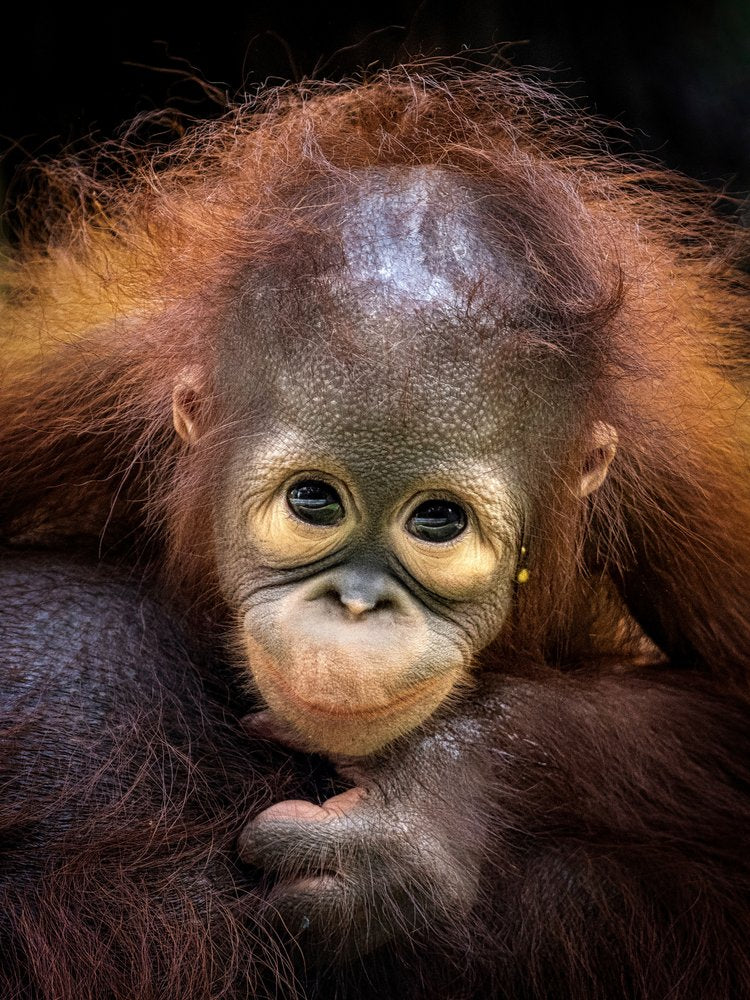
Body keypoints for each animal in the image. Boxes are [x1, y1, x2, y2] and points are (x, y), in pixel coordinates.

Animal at [1, 66, 750, 998]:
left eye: (438, 520)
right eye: (314, 501)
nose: (356, 605)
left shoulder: (680, 479)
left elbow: (728, 709)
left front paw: (419, 818)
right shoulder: (77, 382)